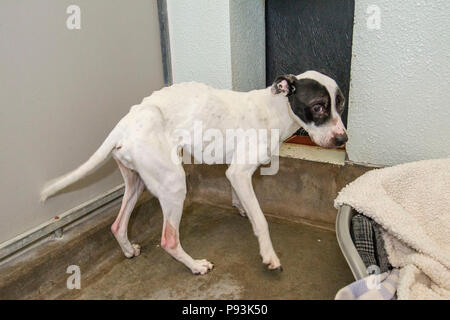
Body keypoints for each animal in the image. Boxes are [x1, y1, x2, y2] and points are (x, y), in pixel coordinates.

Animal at [40, 70, 346, 276]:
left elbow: (238, 197)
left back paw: (128, 250)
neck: (274, 109)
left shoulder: (234, 174)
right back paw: (196, 266)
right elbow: (261, 221)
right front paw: (269, 256)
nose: (343, 139)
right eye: (318, 106)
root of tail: (126, 122)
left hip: (137, 183)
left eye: (340, 104)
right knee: (169, 239)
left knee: (117, 224)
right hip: (174, 184)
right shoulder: (240, 173)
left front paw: (240, 207)